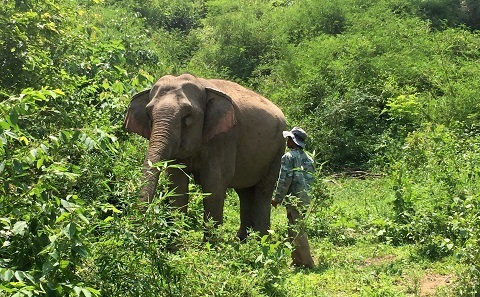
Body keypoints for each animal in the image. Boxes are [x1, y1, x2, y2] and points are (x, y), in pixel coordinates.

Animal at [125, 73, 286, 238]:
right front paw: (176, 241)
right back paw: (243, 239)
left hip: (278, 150)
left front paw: (210, 243)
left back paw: (261, 239)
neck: (202, 84)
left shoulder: (224, 137)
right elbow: (177, 184)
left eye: (187, 115)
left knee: (263, 192)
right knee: (244, 192)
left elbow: (213, 185)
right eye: (148, 114)